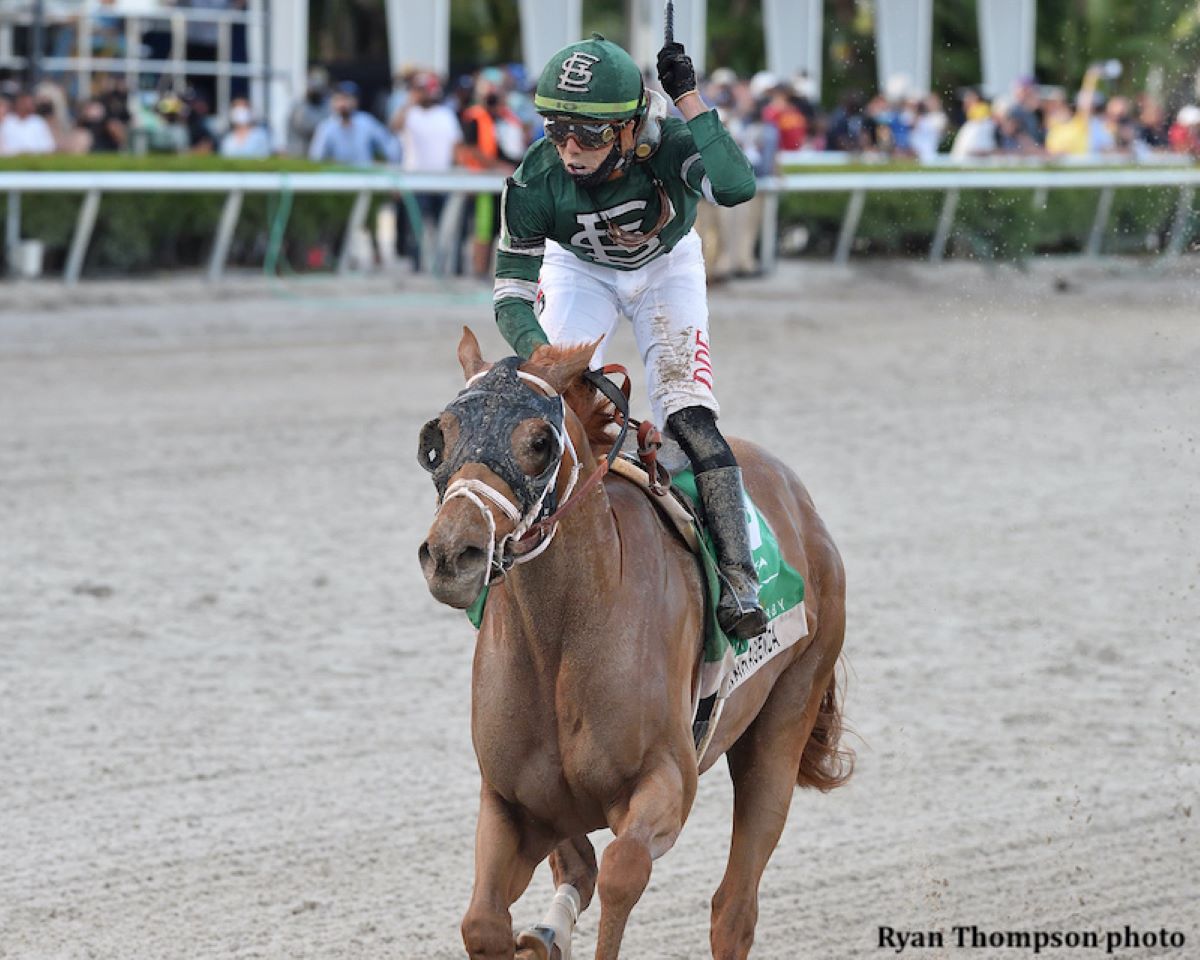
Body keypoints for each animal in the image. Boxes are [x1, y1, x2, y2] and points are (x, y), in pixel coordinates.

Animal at [417, 331, 849, 960]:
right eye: (438, 438)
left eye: (540, 442)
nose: (452, 553)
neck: (561, 638)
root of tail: (803, 503)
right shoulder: (512, 803)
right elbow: (484, 922)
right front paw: (539, 935)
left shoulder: (666, 781)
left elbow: (623, 868)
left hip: (784, 721)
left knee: (733, 909)